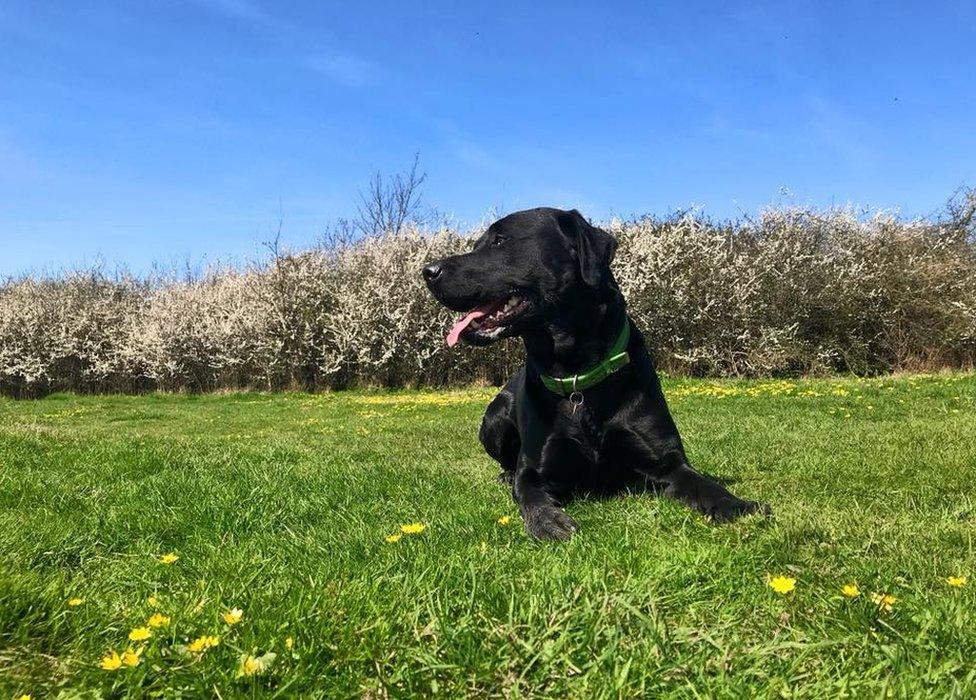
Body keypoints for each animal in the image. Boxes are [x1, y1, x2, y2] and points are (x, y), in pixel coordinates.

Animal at [420, 208, 772, 540]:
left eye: (500, 240)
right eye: (477, 243)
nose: (427, 271)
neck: (577, 377)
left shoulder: (669, 464)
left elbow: (705, 485)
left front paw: (738, 505)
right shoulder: (534, 471)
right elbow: (530, 494)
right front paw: (547, 520)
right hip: (494, 418)